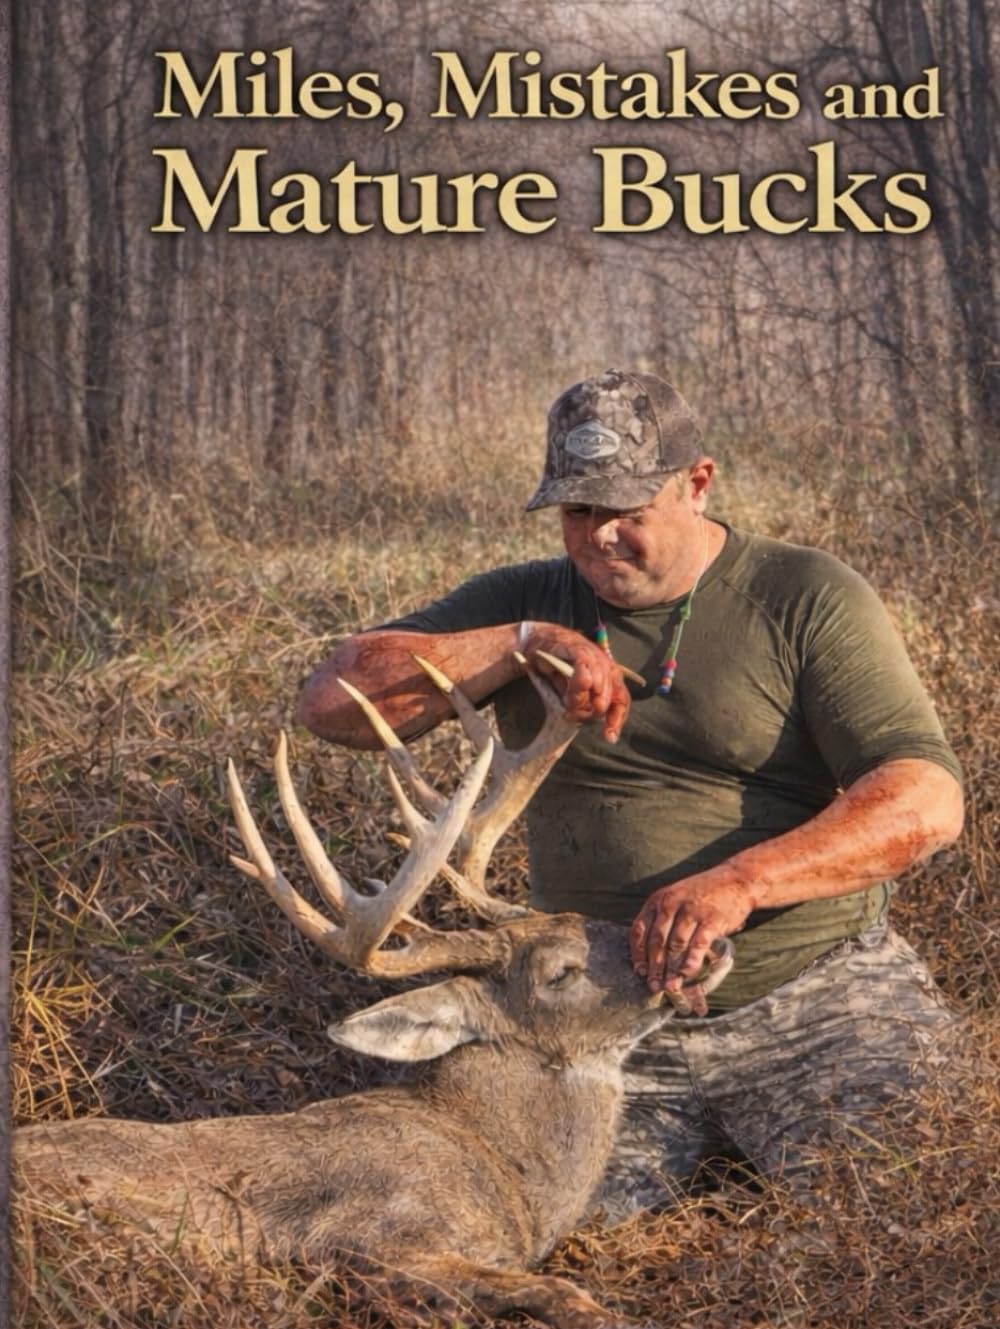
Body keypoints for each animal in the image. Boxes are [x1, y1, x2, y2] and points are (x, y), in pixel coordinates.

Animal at [16, 653, 732, 1329]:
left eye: (587, 918)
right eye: (561, 971)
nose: (709, 948)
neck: (507, 1171)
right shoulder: (368, 1238)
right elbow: (561, 1293)